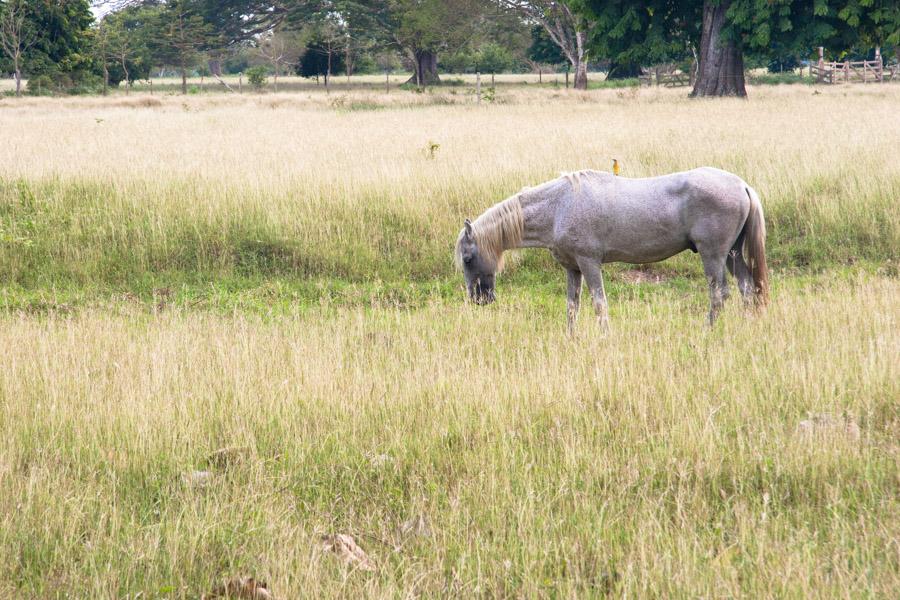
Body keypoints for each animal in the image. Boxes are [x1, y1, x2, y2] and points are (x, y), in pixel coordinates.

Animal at [458, 166, 768, 330]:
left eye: (468, 258)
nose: (478, 299)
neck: (559, 206)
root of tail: (742, 186)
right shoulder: (572, 269)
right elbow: (572, 305)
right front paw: (571, 338)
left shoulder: (589, 263)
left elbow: (599, 302)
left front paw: (603, 336)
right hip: (732, 255)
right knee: (747, 288)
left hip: (712, 255)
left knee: (720, 293)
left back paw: (707, 331)